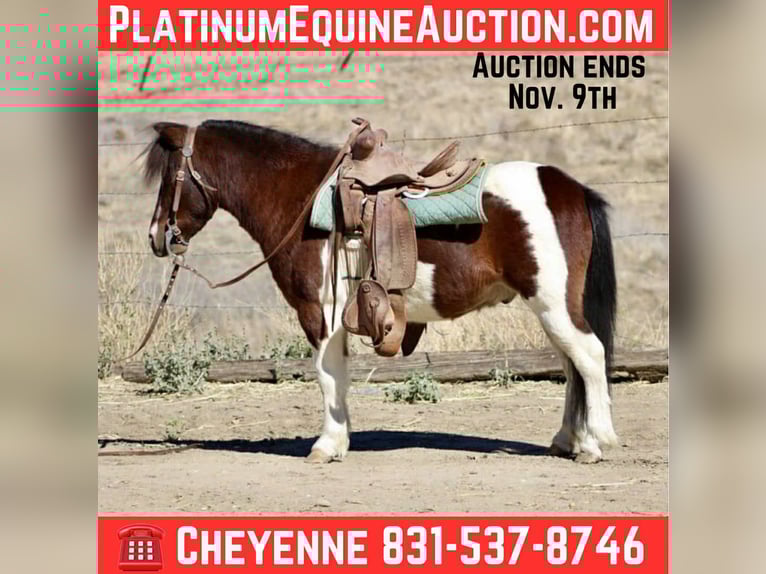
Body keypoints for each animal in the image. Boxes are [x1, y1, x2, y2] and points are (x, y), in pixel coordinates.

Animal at [143, 119, 618, 464]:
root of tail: (572, 190)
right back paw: (568, 440)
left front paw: (327, 446)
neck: (300, 199)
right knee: (572, 366)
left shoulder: (320, 313)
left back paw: (596, 443)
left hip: (554, 304)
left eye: (169, 178)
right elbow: (337, 378)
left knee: (589, 357)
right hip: (552, 309)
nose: (156, 236)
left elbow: (328, 376)